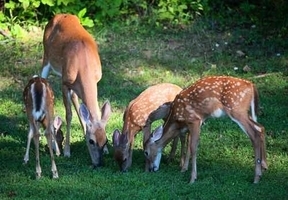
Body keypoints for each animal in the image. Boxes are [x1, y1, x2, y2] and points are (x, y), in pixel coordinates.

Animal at [40, 13, 111, 168]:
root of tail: (59, 15)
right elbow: (68, 115)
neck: (83, 64)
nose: (99, 164)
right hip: (46, 59)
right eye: (91, 141)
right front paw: (67, 151)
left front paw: (107, 150)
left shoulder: (96, 81)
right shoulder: (65, 83)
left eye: (106, 140)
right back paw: (54, 147)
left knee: (77, 103)